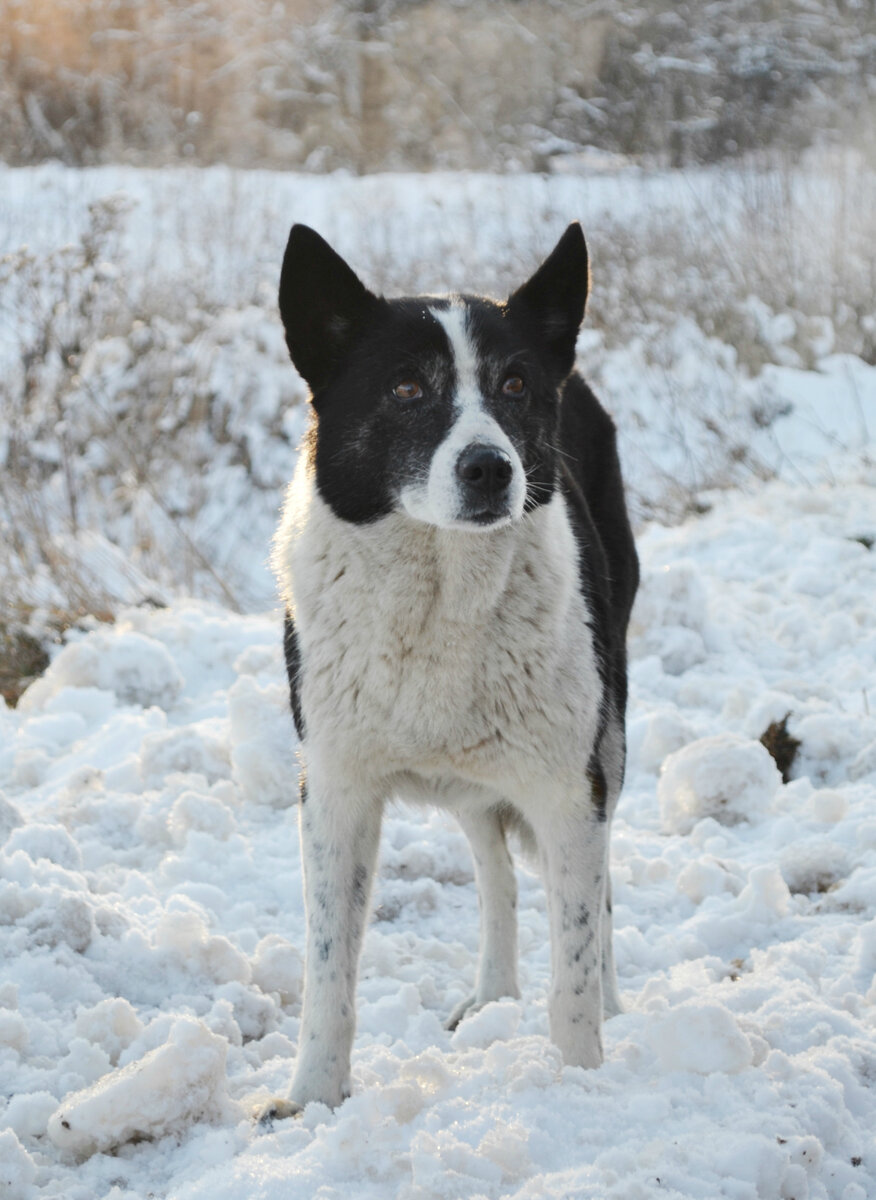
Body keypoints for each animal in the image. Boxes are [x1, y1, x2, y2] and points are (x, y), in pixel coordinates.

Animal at [262, 220, 638, 1118]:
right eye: (406, 388)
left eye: (514, 384)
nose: (490, 468)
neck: (439, 595)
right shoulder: (335, 790)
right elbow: (330, 973)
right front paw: (312, 1100)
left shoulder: (571, 789)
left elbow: (574, 963)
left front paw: (582, 1089)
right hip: (481, 776)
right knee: (494, 869)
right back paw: (492, 994)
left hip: (607, 740)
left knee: (597, 889)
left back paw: (608, 1006)